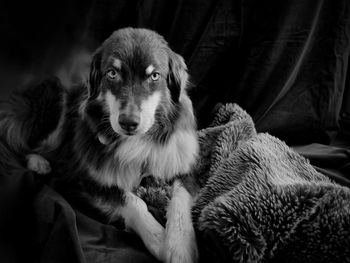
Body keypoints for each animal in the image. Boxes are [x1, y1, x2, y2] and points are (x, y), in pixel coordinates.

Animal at [1, 28, 200, 263]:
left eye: (154, 76)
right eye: (112, 73)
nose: (129, 123)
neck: (138, 141)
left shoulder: (183, 166)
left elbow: (180, 198)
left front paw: (179, 246)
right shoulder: (86, 178)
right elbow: (132, 200)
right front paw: (159, 238)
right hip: (53, 99)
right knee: (22, 142)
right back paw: (38, 162)